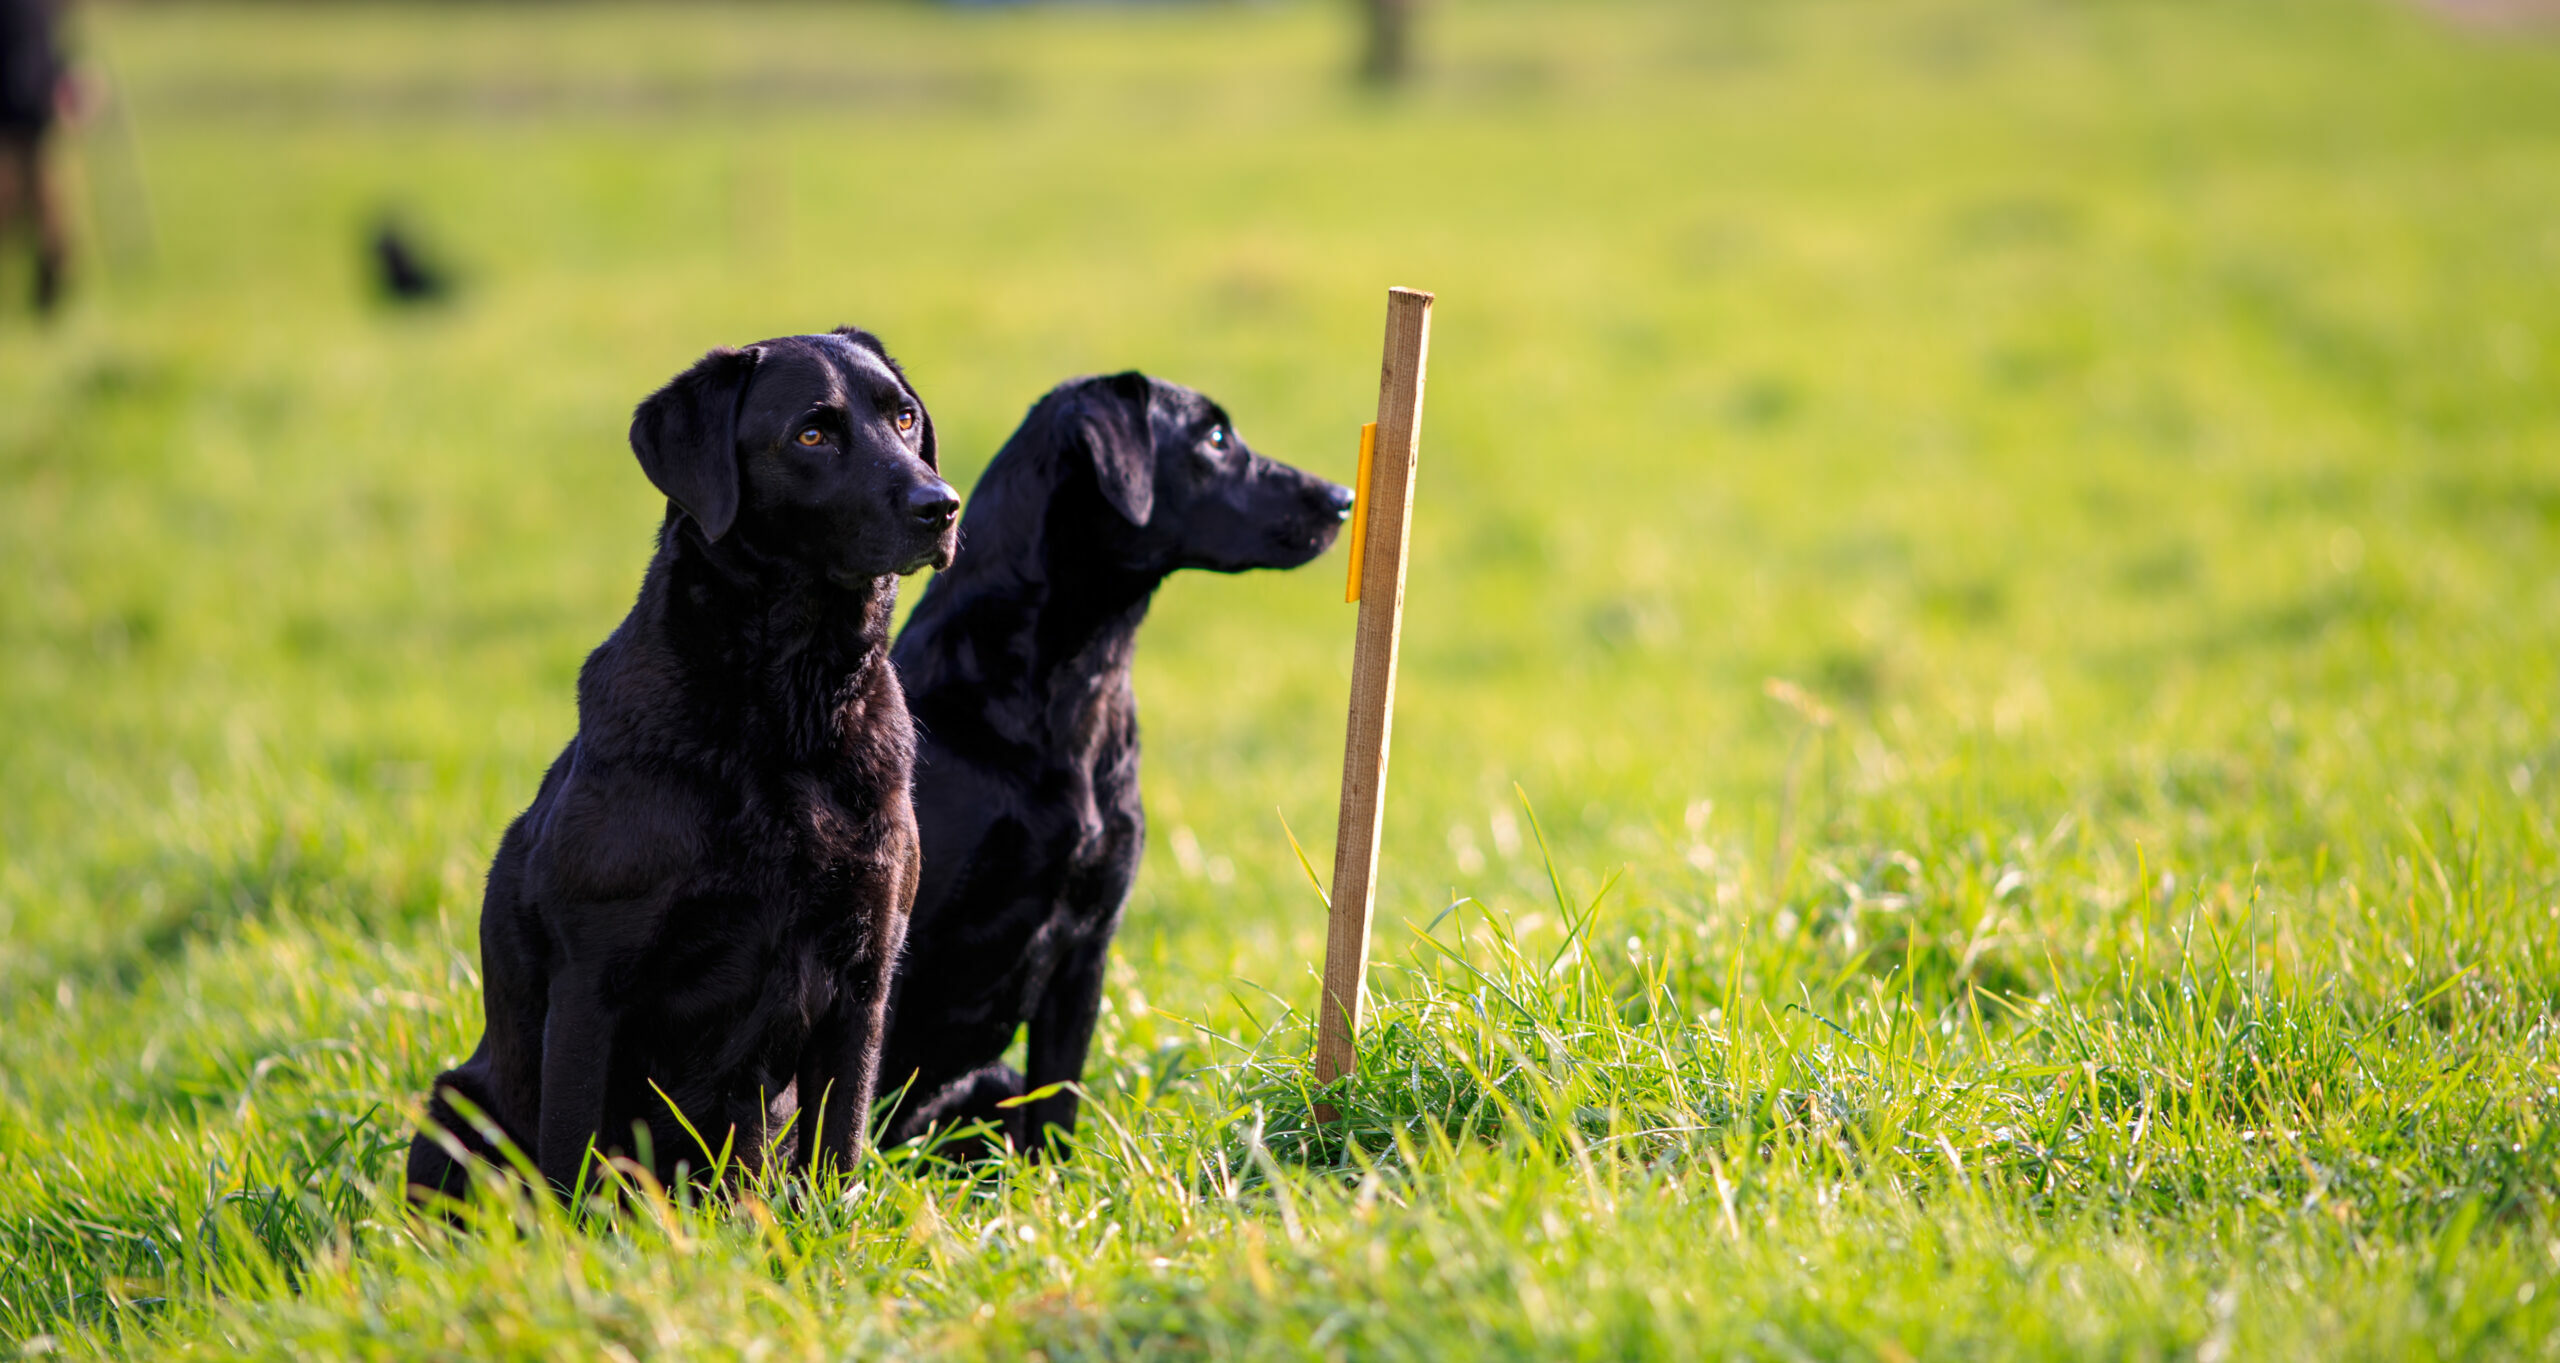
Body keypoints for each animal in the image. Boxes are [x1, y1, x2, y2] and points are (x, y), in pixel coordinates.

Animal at [404, 330, 962, 1204]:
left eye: (904, 417)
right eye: (812, 433)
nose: (940, 504)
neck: (789, 710)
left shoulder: (866, 973)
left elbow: (838, 1148)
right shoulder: (592, 979)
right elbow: (572, 1156)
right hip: (455, 1103)